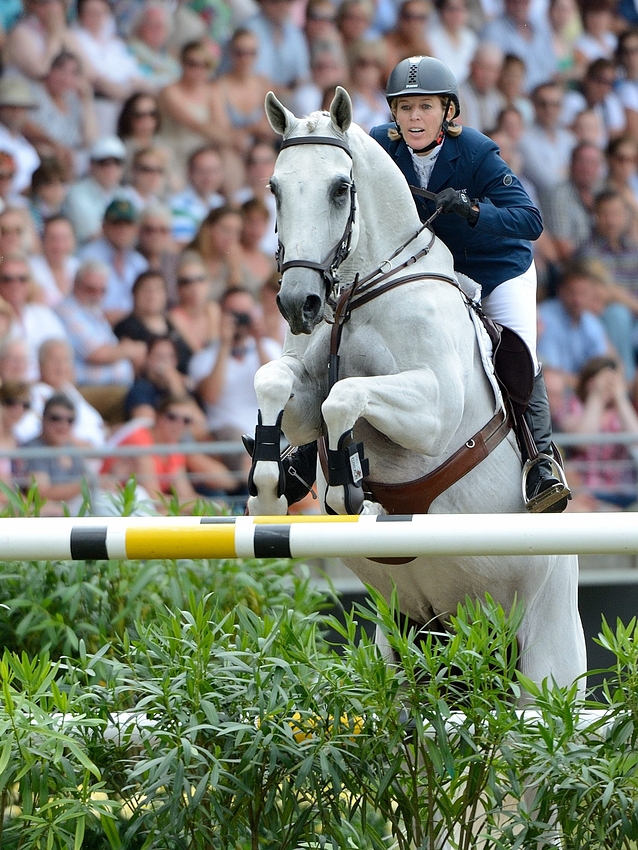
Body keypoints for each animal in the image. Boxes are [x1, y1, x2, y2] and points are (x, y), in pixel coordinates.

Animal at [248, 89, 588, 692]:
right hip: (410, 642)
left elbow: (347, 395)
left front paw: (347, 485)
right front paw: (269, 484)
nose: (297, 304)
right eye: (275, 188)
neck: (365, 289)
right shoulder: (304, 395)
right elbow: (278, 383)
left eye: (341, 188)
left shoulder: (432, 410)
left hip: (547, 660)